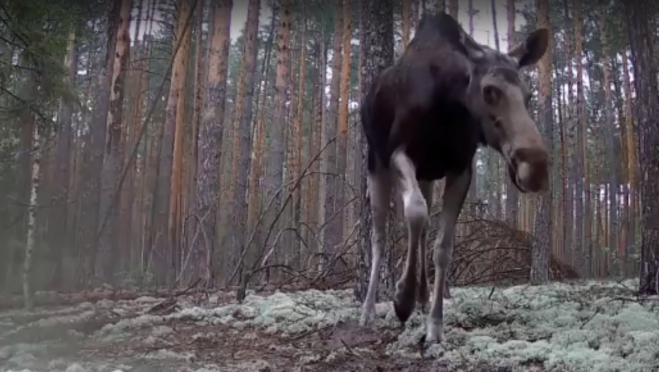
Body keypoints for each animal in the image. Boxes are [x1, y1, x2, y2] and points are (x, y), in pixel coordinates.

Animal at [358, 13, 548, 344]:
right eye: (489, 90)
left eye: (527, 95)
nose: (536, 166)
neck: (447, 106)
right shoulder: (399, 152)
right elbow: (414, 212)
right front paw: (402, 298)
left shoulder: (461, 168)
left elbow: (443, 246)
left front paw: (435, 324)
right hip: (376, 163)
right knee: (380, 236)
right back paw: (369, 310)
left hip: (427, 175)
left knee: (421, 228)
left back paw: (422, 298)